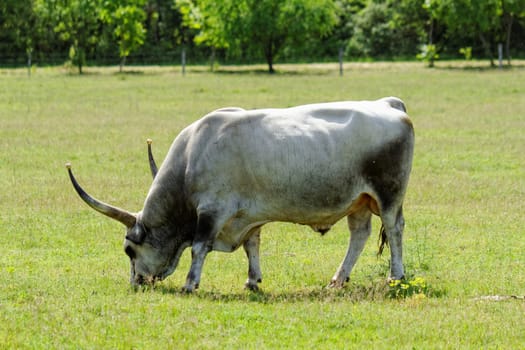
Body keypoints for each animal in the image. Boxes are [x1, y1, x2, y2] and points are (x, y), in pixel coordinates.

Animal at [67, 97, 414, 292]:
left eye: (129, 250)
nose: (136, 283)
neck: (191, 158)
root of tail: (389, 104)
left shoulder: (212, 210)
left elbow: (199, 247)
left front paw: (190, 284)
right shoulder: (247, 214)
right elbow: (252, 245)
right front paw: (252, 281)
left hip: (389, 194)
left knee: (395, 229)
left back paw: (395, 277)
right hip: (359, 201)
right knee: (359, 235)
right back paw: (338, 279)